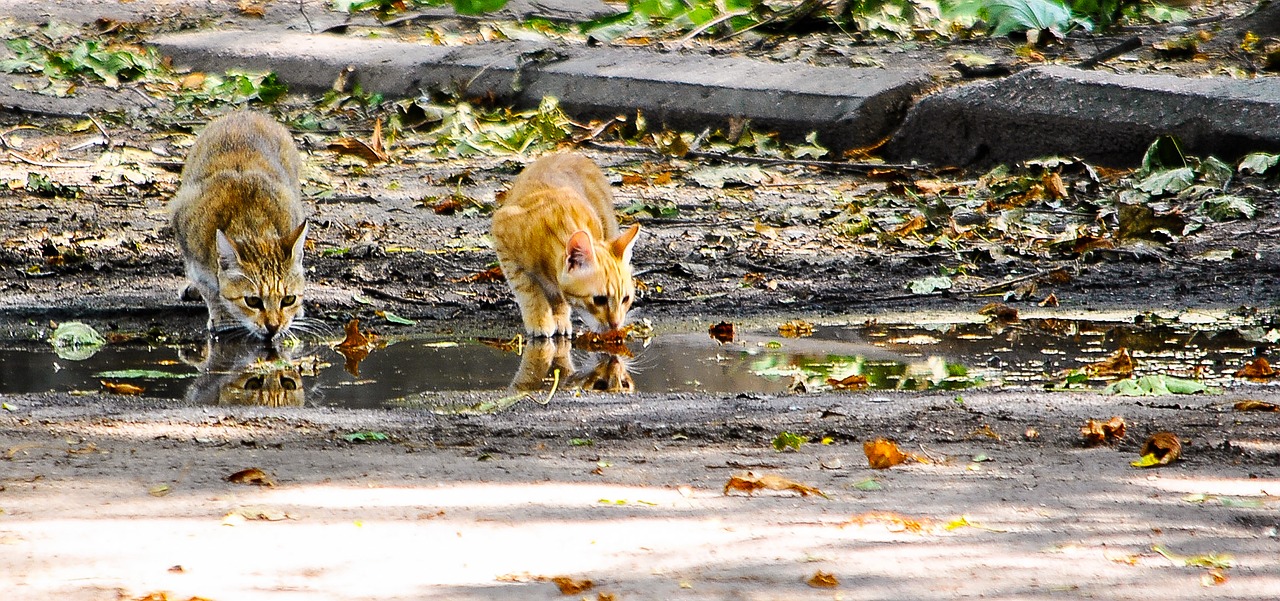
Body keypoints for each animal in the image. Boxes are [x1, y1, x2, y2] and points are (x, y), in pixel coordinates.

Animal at [167, 110, 307, 340]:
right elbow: (209, 289)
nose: (274, 327)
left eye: (288, 300)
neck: (252, 224)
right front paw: (221, 314)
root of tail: (245, 112)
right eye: (253, 301)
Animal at [496, 152, 645, 335]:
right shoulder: (501, 234)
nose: (616, 325)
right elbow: (527, 288)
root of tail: (571, 154)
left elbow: (560, 296)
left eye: (625, 299)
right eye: (600, 300)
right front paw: (539, 319)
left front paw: (560, 317)